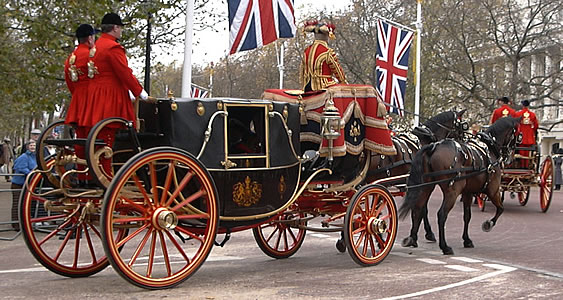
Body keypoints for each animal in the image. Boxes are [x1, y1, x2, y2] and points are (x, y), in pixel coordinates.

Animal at [398, 116, 524, 254]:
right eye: (517, 134)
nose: (511, 158)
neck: (490, 148)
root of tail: (433, 147)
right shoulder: (493, 191)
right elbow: (500, 209)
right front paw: (488, 224)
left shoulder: (467, 193)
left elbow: (467, 216)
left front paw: (467, 240)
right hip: (452, 192)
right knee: (441, 214)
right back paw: (444, 246)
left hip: (426, 187)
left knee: (418, 208)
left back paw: (412, 238)